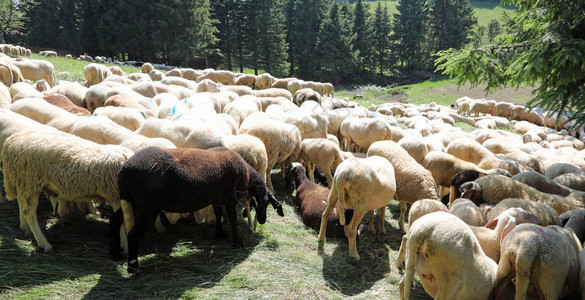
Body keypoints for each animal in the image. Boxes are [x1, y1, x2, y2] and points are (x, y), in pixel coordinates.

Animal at [3, 130, 133, 252]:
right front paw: (126, 246)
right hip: (30, 180)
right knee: (29, 213)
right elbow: (124, 223)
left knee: (22, 204)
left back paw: (25, 229)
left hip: (23, 182)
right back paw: (44, 244)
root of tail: (10, 142)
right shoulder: (117, 196)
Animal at [110, 146, 284, 274]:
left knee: (115, 220)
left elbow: (219, 214)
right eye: (265, 203)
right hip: (148, 206)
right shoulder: (229, 199)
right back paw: (133, 267)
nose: (262, 220)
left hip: (131, 200)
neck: (247, 176)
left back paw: (115, 254)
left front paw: (220, 234)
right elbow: (232, 220)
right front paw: (238, 242)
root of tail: (125, 170)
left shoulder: (216, 198)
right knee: (133, 234)